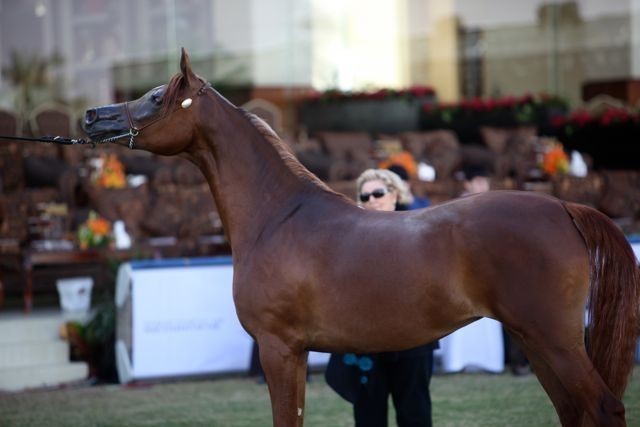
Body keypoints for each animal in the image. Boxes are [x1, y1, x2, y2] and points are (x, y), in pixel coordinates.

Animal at [83, 48, 639, 427]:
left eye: (158, 97)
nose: (92, 116)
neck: (277, 216)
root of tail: (564, 207)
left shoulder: (278, 348)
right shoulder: (296, 352)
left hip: (554, 340)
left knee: (603, 408)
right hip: (536, 340)